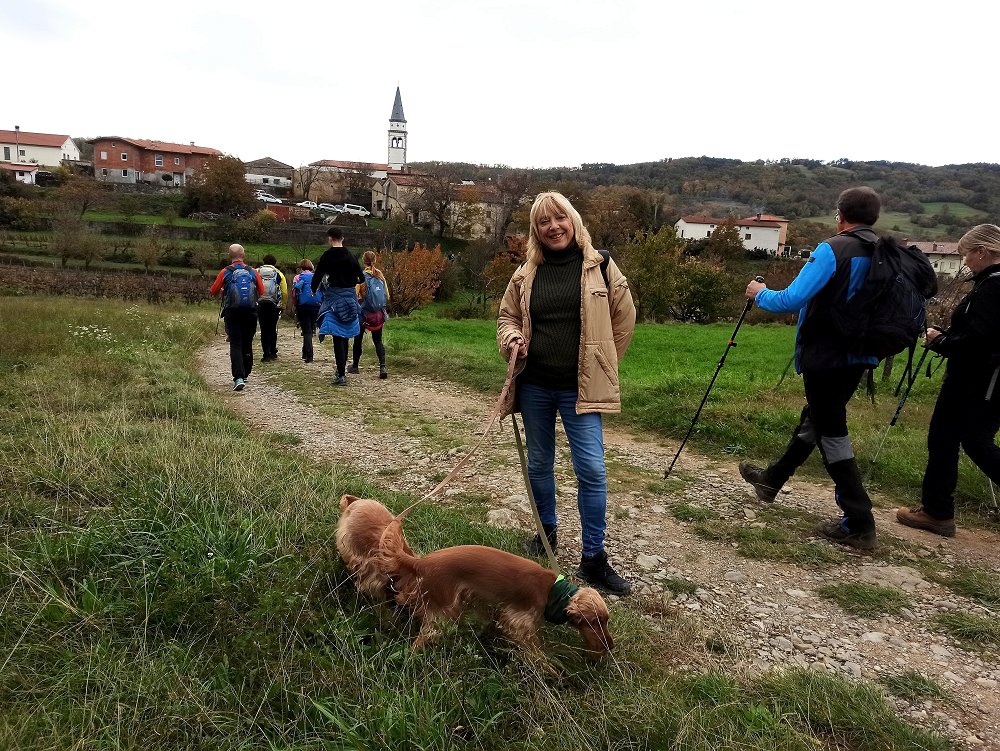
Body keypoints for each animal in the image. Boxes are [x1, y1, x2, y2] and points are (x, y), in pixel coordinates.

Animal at [378, 520, 612, 656]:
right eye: (594, 621)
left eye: (606, 621)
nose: (610, 646)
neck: (551, 589)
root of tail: (422, 562)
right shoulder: (518, 621)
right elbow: (537, 653)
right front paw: (553, 672)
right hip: (444, 610)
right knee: (422, 637)